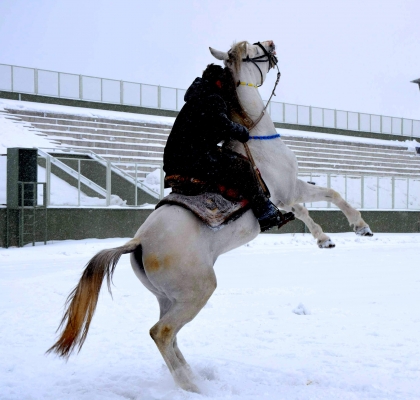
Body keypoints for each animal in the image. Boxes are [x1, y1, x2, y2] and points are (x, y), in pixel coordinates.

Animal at [50, 41, 374, 394]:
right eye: (251, 51)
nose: (272, 44)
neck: (256, 140)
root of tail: (139, 242)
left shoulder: (286, 196)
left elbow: (306, 209)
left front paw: (324, 239)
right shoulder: (288, 190)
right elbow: (331, 194)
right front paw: (360, 227)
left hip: (169, 298)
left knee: (170, 338)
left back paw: (193, 378)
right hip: (198, 291)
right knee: (161, 333)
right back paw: (194, 386)